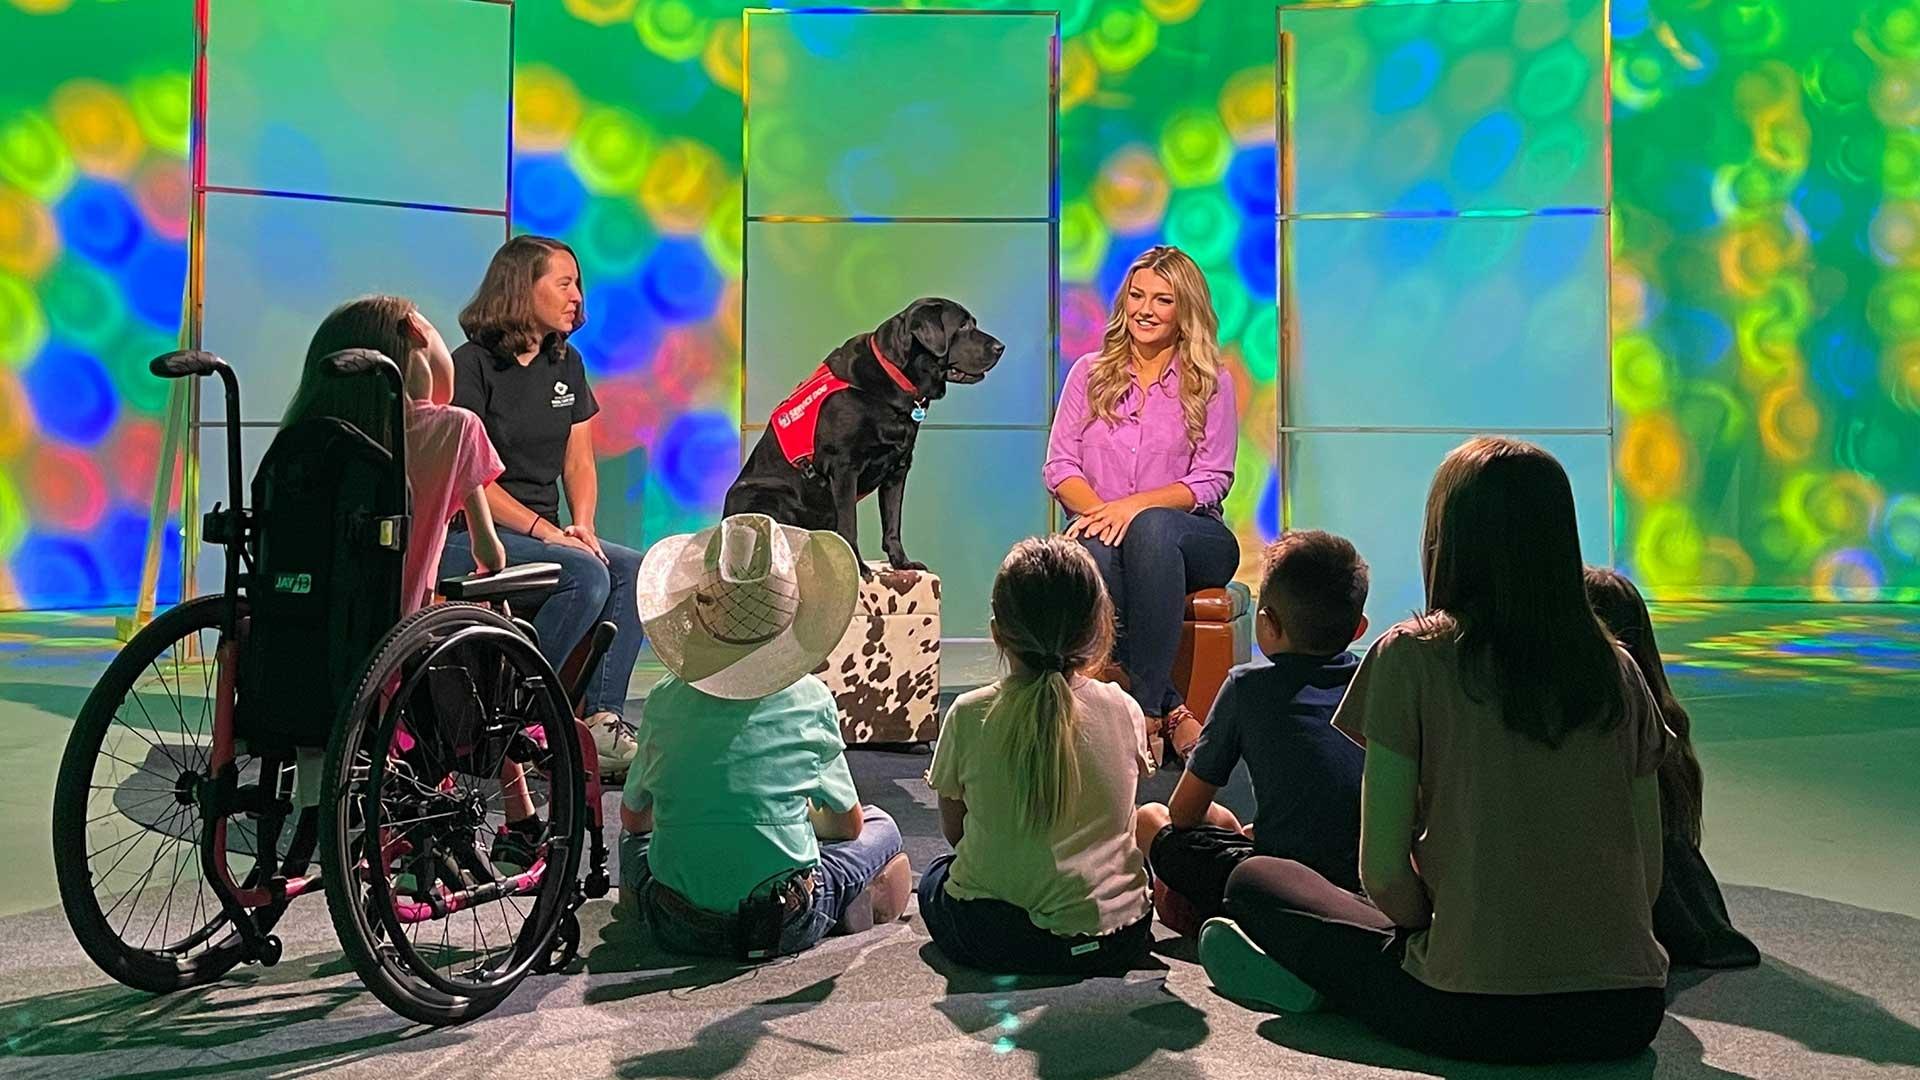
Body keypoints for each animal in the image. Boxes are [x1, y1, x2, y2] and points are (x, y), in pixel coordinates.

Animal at [721, 290, 1006, 568]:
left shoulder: (898, 470)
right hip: (759, 491)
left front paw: (902, 562)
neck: (894, 379)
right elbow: (850, 525)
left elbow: (892, 522)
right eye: (963, 325)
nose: (1001, 347)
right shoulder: (844, 468)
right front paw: (859, 566)